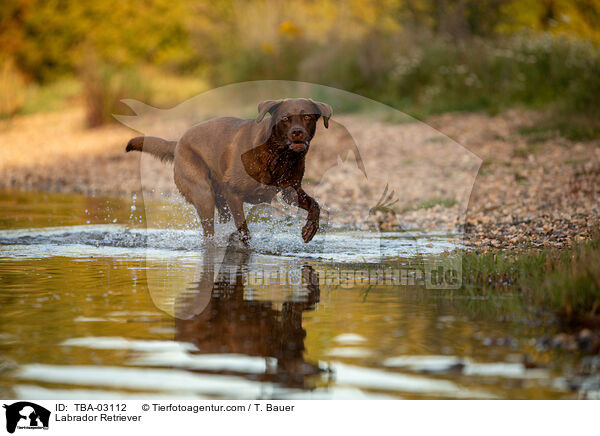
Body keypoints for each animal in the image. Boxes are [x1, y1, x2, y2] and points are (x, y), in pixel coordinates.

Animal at [126, 96, 332, 244]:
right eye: (285, 118)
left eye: (307, 117)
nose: (297, 132)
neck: (279, 155)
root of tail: (177, 143)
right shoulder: (234, 193)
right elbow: (243, 228)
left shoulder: (291, 191)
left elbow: (315, 204)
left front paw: (310, 228)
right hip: (203, 193)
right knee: (208, 231)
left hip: (218, 198)